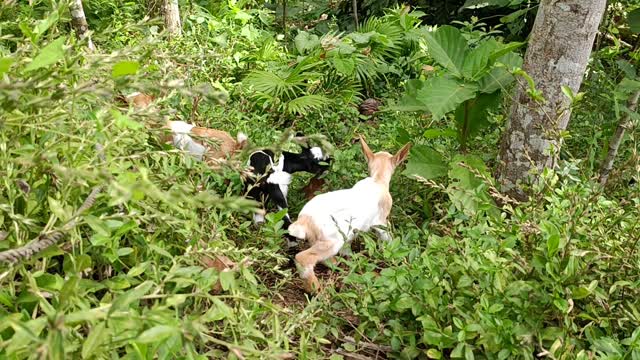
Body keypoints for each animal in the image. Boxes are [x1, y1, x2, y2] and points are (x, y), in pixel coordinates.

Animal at [288, 136, 412, 294]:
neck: (377, 179)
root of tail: (303, 220)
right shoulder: (381, 222)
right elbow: (388, 239)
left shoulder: (351, 231)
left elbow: (347, 248)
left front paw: (350, 257)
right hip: (333, 240)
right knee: (303, 258)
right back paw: (315, 289)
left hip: (322, 238)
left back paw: (335, 264)